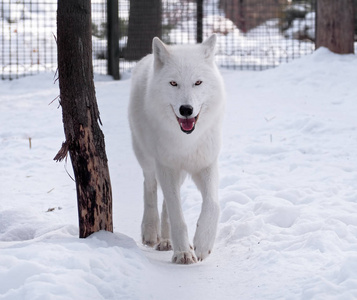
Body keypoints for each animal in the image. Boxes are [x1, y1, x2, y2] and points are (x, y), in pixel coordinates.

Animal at [128, 35, 224, 264]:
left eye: (198, 82)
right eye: (173, 83)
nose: (186, 109)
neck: (186, 141)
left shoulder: (206, 164)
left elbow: (213, 204)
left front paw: (202, 244)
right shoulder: (166, 166)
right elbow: (176, 214)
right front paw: (183, 253)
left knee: (166, 202)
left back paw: (166, 240)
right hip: (146, 157)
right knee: (150, 187)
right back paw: (151, 231)